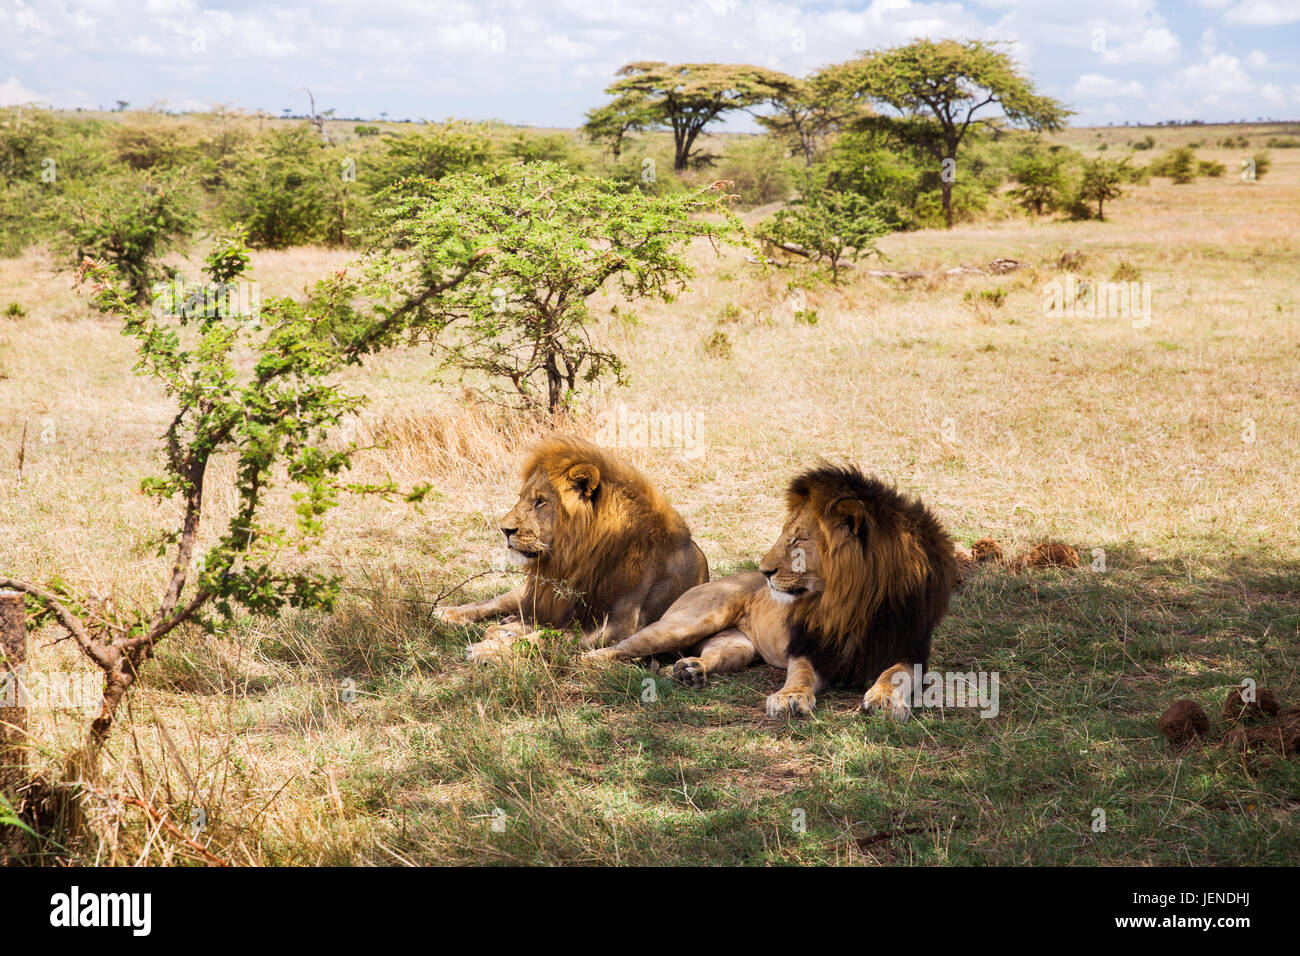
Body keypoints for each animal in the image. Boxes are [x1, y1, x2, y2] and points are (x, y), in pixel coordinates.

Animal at [435, 435, 709, 663]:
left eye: (540, 501)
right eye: (521, 497)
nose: (504, 530)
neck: (578, 559)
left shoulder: (619, 628)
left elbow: (547, 636)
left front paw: (489, 649)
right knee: (498, 601)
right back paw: (447, 612)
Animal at [584, 463, 958, 720]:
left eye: (798, 540)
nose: (765, 572)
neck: (849, 602)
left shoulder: (910, 649)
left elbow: (894, 675)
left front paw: (884, 699)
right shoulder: (807, 647)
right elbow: (801, 674)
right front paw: (789, 697)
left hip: (737, 645)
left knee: (711, 655)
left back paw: (690, 671)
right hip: (689, 621)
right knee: (618, 646)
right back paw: (588, 663)